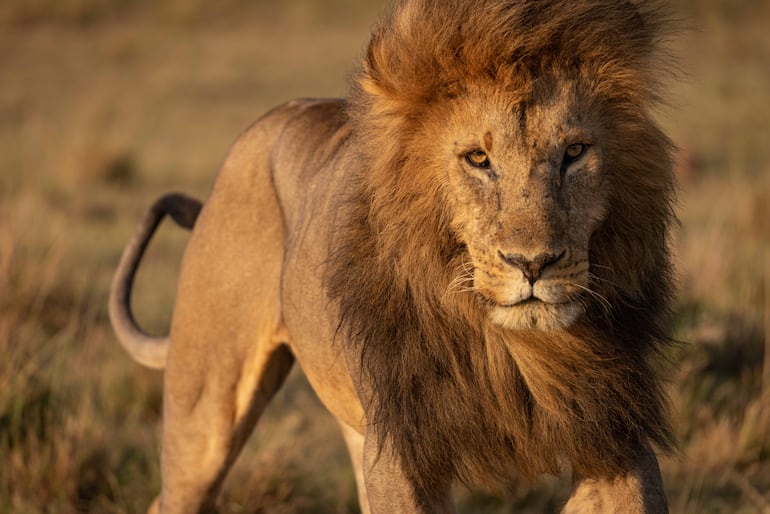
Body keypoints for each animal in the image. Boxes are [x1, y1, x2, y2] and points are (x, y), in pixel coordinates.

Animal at [109, 0, 678, 512]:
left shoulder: (613, 430)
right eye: (478, 159)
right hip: (206, 406)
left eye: (574, 153)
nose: (533, 263)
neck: (506, 349)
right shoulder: (400, 448)